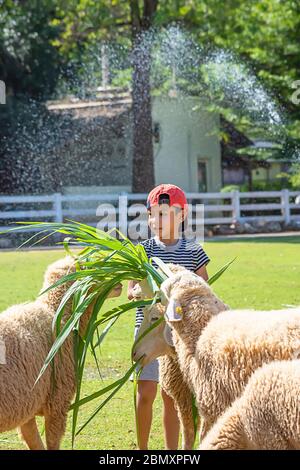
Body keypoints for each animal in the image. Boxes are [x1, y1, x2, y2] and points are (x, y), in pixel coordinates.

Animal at [0, 255, 122, 450]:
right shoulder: (57, 402)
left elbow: (34, 442)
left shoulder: (26, 406)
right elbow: (51, 442)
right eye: (94, 267)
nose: (120, 283)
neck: (58, 314)